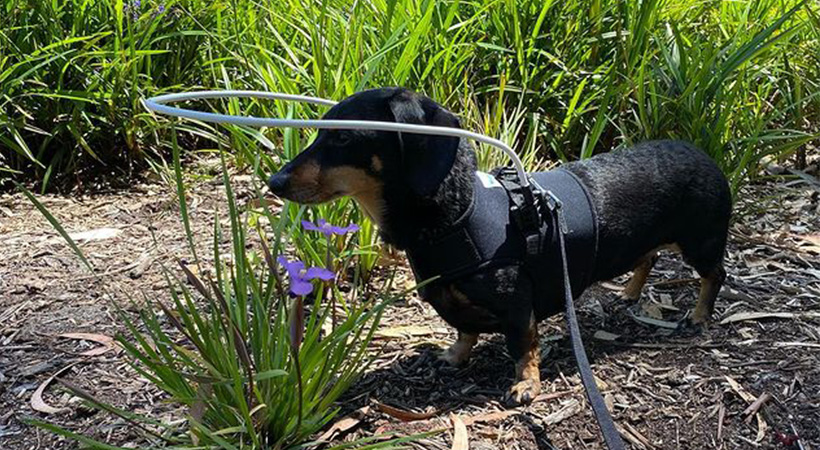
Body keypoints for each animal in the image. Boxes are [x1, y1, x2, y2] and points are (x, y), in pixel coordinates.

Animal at [268, 87, 732, 404]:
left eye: (344, 139)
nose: (274, 182)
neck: (457, 213)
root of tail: (703, 154)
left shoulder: (517, 304)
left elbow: (522, 345)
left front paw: (526, 384)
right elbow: (464, 330)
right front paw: (454, 356)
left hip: (700, 242)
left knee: (715, 274)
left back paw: (698, 315)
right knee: (648, 257)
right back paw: (631, 293)